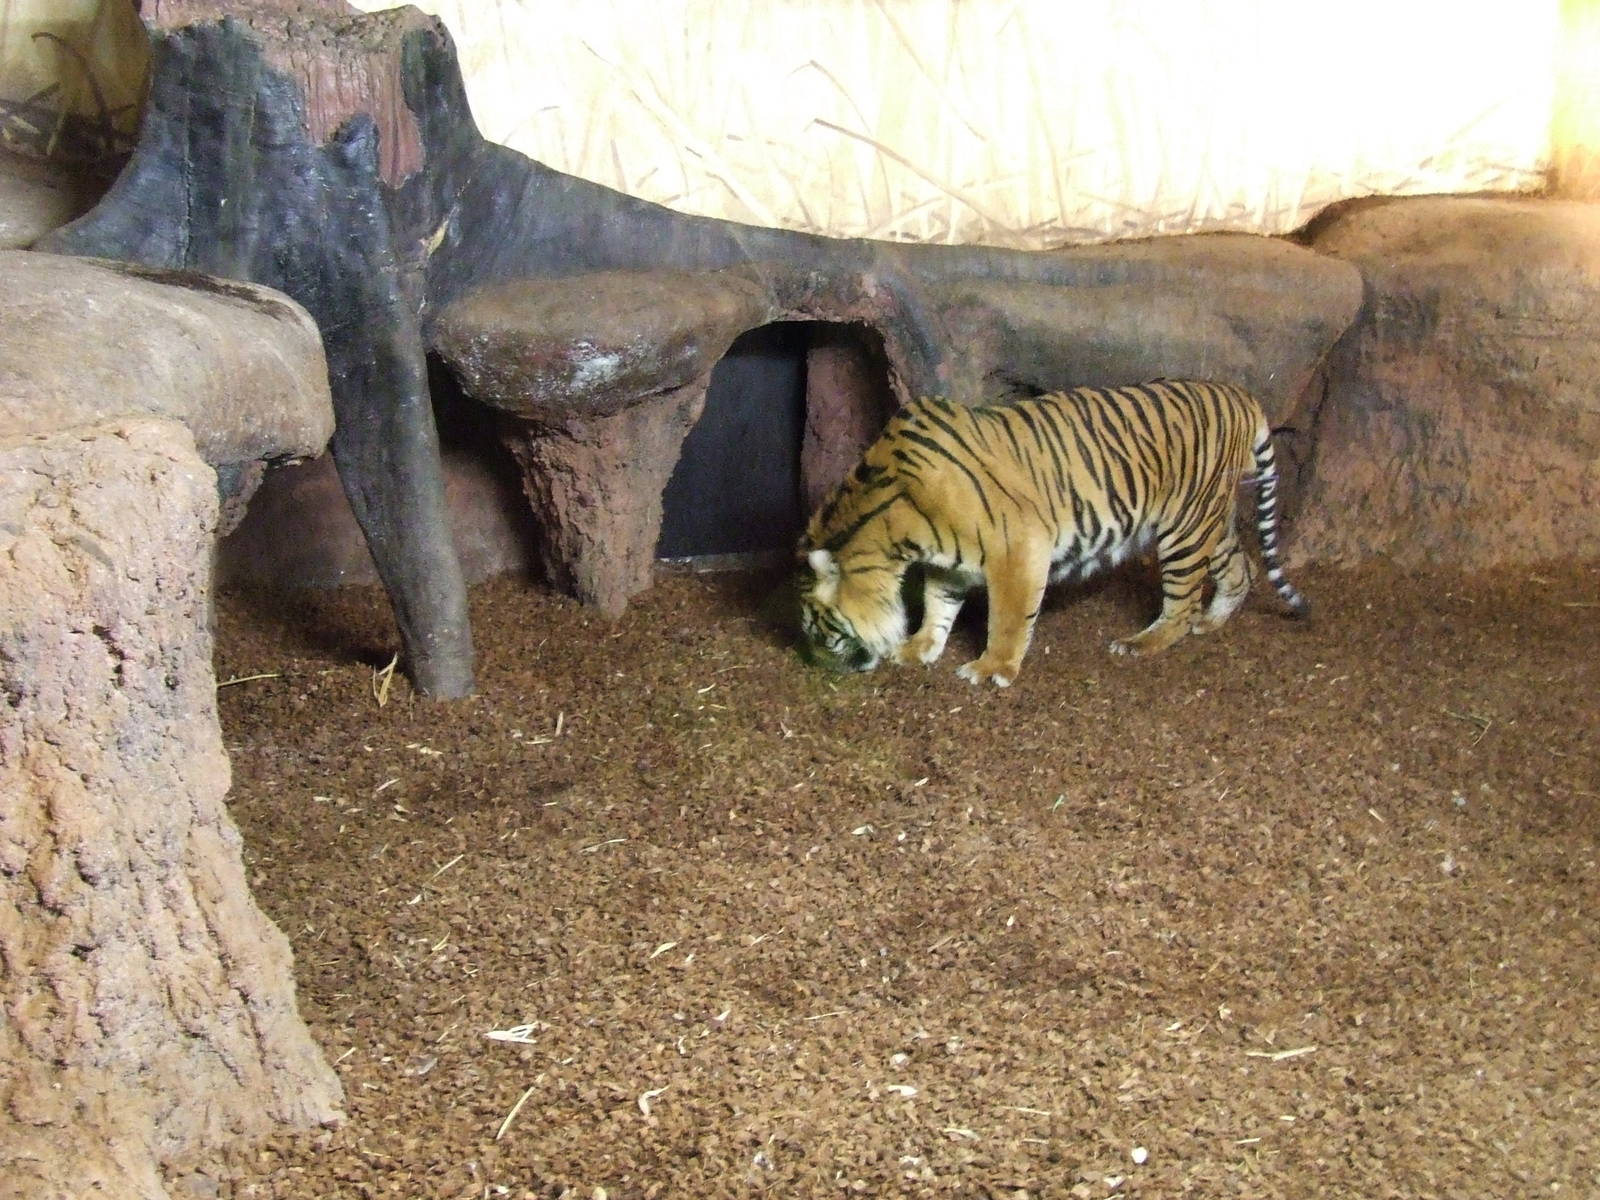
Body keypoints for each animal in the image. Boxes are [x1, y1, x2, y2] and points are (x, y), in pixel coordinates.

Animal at [796, 379, 1309, 686]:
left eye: (819, 629)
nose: (817, 668)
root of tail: (1239, 394)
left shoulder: (1017, 547)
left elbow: (1008, 617)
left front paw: (992, 669)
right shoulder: (949, 561)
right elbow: (938, 604)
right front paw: (920, 648)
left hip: (1184, 527)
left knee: (1181, 604)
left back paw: (1141, 643)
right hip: (1208, 519)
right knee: (1241, 568)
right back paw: (1213, 621)